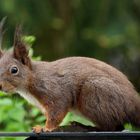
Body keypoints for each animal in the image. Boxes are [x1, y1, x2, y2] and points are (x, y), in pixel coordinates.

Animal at [0, 19, 140, 132]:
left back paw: (87, 127)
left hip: (94, 93)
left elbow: (57, 111)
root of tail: (133, 104)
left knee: (111, 127)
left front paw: (45, 128)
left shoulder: (53, 91)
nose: (0, 86)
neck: (32, 79)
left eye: (14, 70)